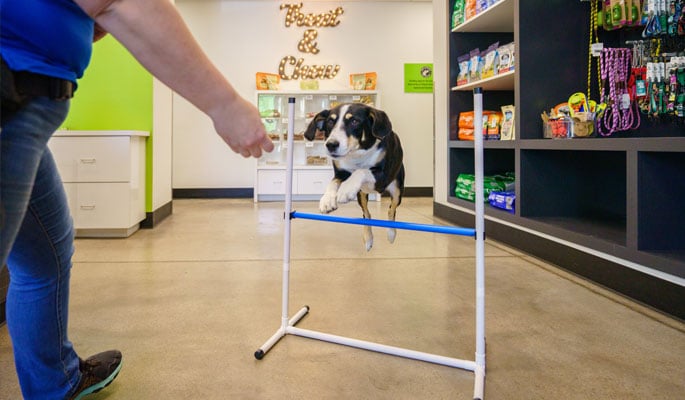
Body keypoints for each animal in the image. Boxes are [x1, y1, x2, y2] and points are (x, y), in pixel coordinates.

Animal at [304, 102, 404, 250]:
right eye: (330, 122)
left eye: (354, 121)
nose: (331, 145)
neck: (357, 154)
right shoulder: (340, 172)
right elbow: (333, 182)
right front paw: (327, 200)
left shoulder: (382, 176)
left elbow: (362, 170)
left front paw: (346, 189)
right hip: (361, 195)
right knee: (366, 214)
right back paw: (368, 239)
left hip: (397, 189)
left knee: (392, 210)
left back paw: (391, 233)